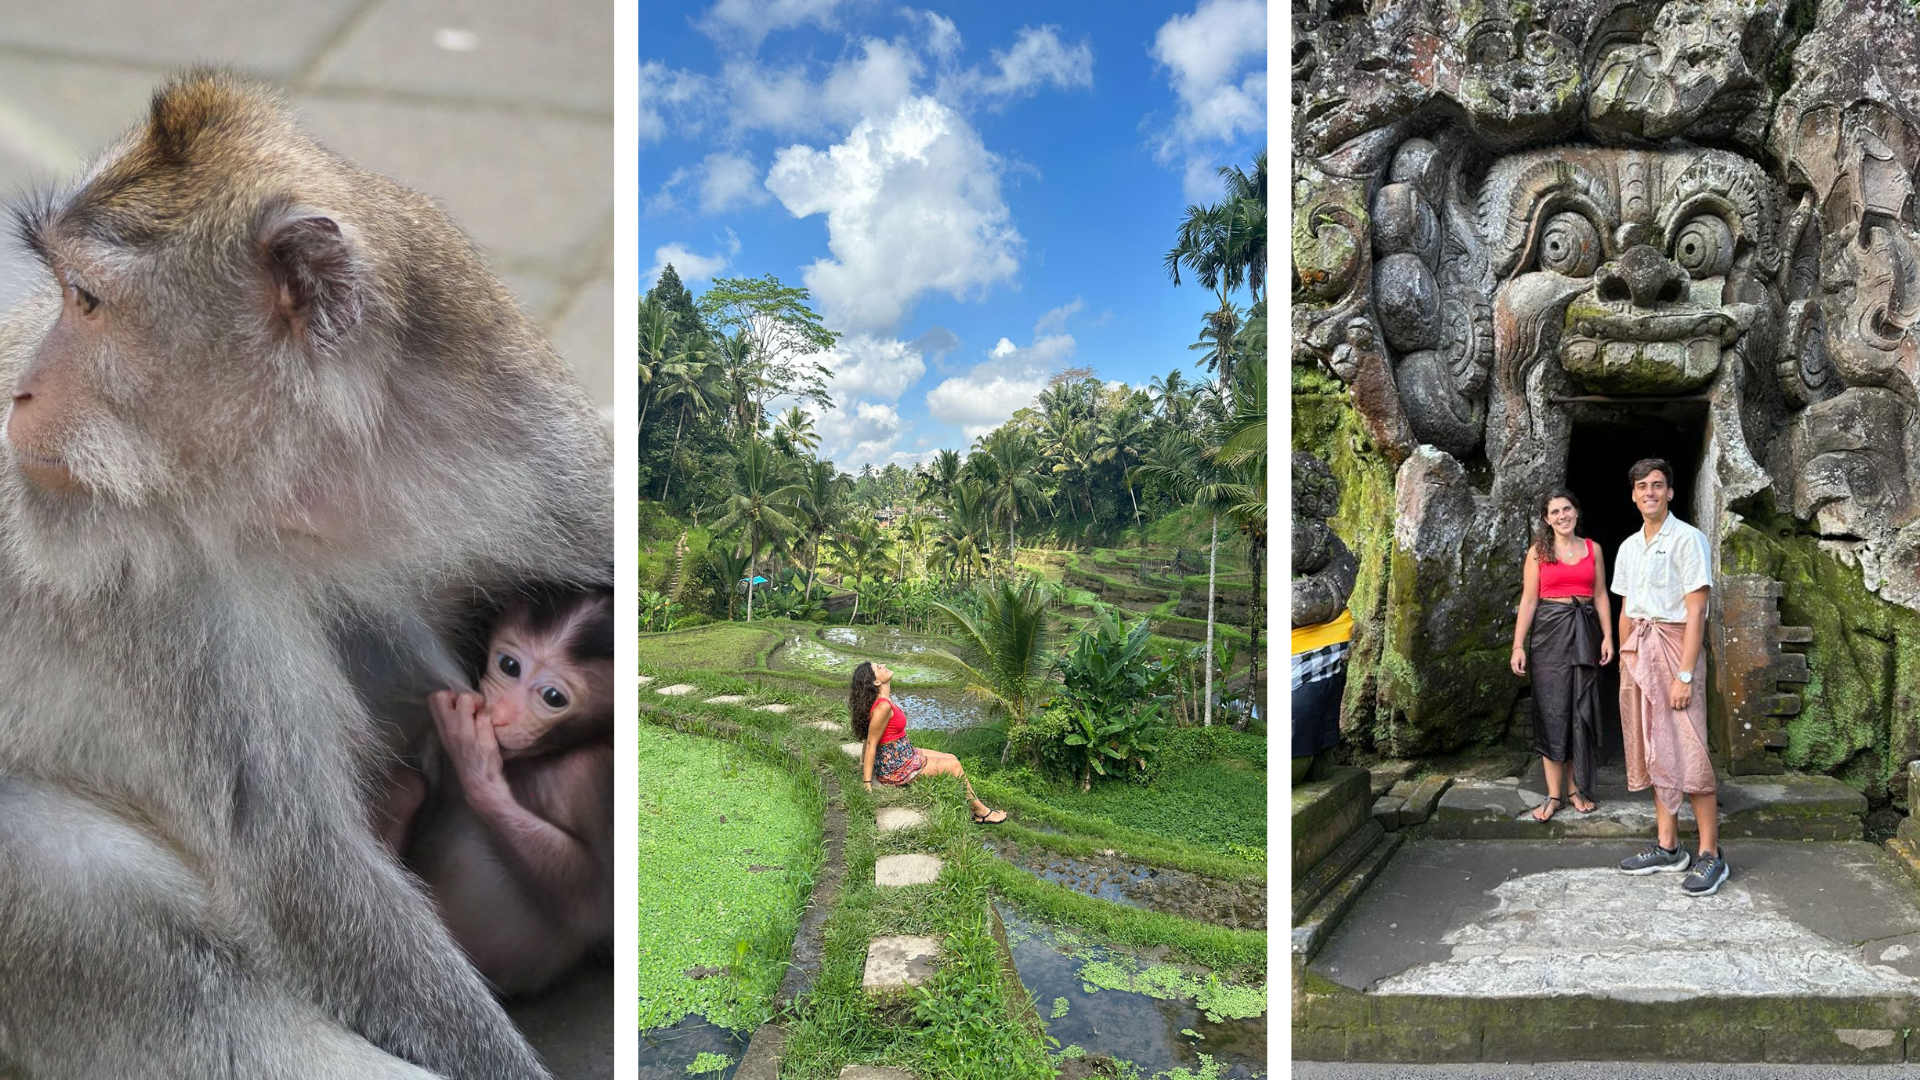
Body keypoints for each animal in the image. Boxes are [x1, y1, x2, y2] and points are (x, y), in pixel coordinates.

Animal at [391, 588, 622, 991]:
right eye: (509, 666)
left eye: (553, 698)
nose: (498, 716)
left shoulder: (590, 775)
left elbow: (594, 901)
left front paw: (472, 754)